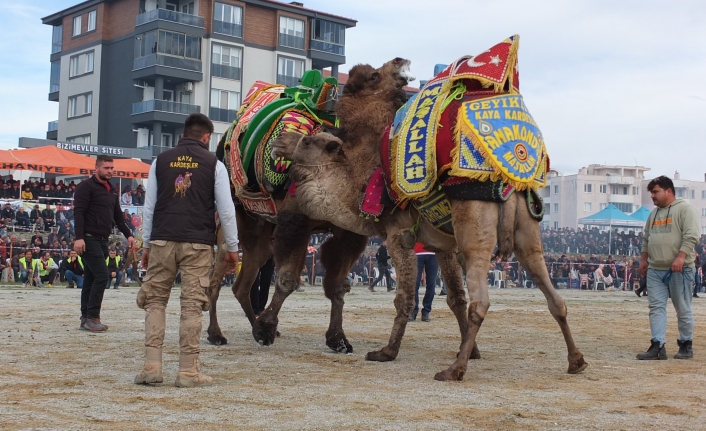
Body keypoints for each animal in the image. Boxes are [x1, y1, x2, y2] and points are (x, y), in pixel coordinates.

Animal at [204, 57, 412, 354]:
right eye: (374, 76)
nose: (399, 61)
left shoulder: (348, 232)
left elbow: (338, 285)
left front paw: (338, 339)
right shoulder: (296, 220)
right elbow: (288, 278)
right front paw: (266, 329)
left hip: (261, 232)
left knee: (241, 285)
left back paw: (256, 326)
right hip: (230, 217)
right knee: (216, 278)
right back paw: (216, 333)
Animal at [270, 132, 584, 382]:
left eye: (307, 140)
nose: (280, 139)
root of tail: (509, 191)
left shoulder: (398, 236)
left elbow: (405, 298)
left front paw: (387, 352)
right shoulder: (444, 247)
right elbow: (456, 298)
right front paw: (471, 350)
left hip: (475, 236)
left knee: (481, 302)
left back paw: (453, 371)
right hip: (528, 239)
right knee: (554, 298)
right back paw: (576, 361)